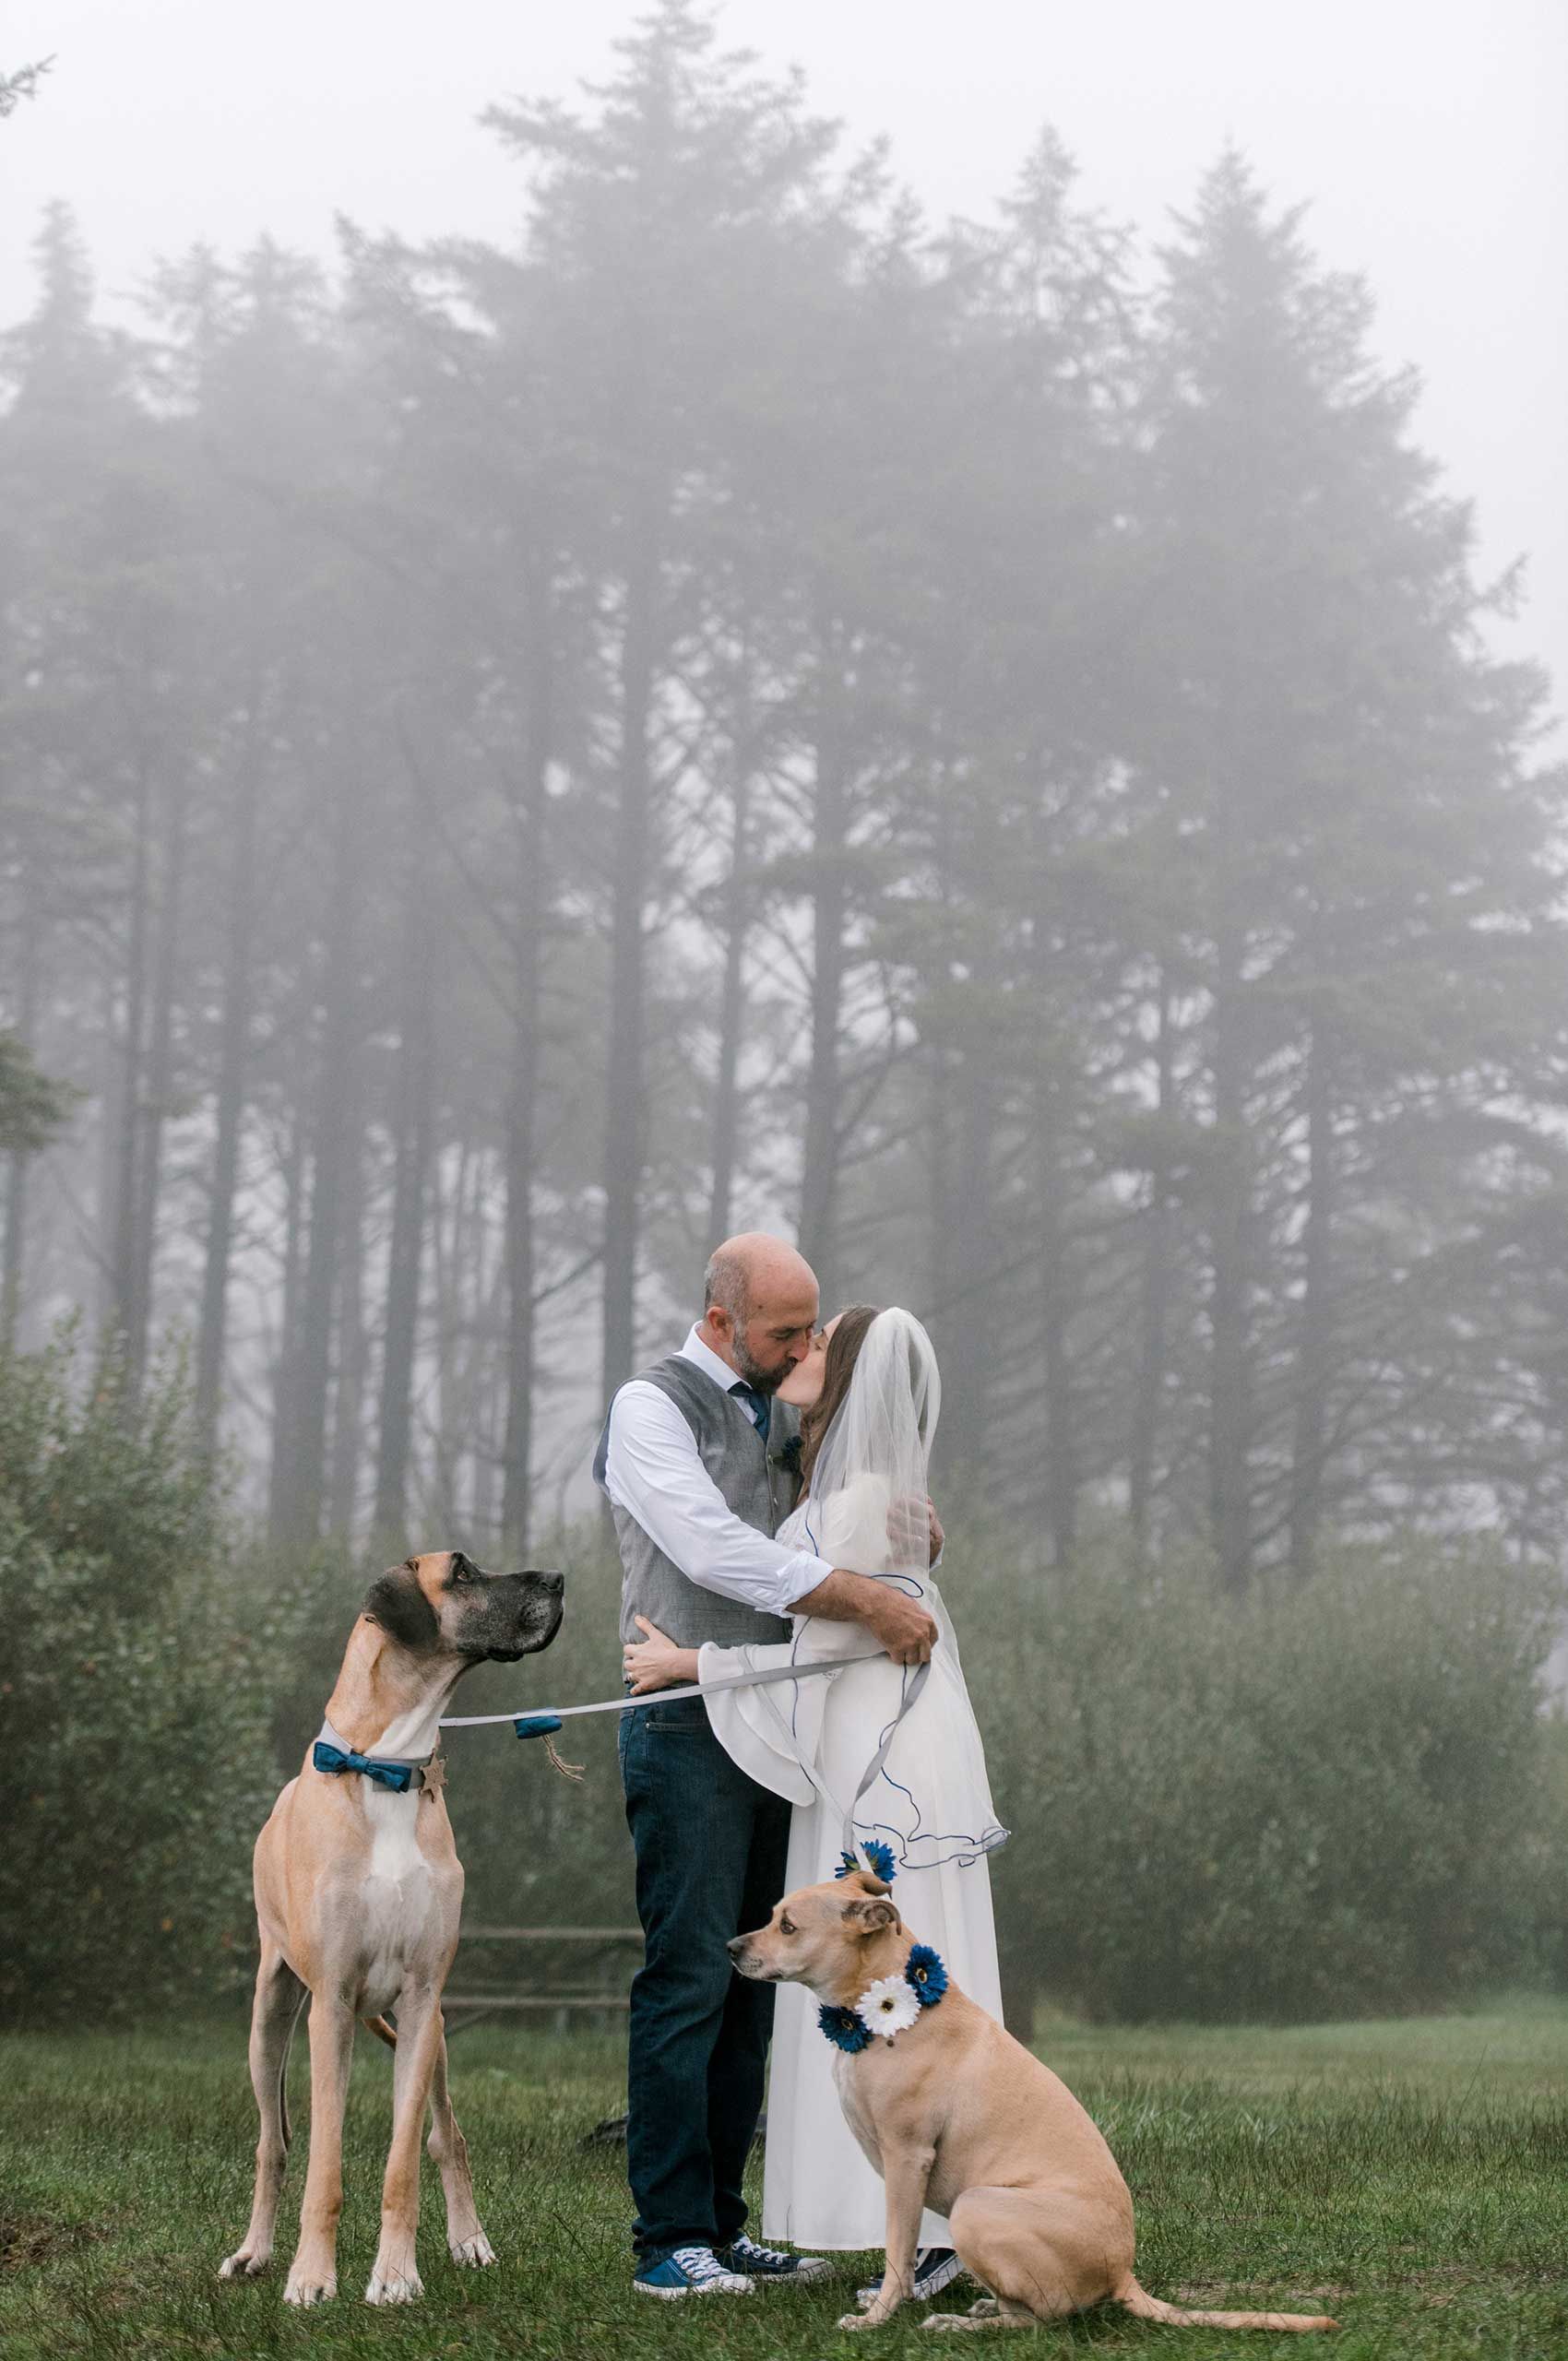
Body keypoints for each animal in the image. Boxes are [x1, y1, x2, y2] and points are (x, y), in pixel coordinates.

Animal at [217, 1548, 564, 2304]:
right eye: (461, 1572)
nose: (556, 1580)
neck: (388, 1768)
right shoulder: (332, 2005)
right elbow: (324, 2161)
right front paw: (311, 2277)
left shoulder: (422, 1997)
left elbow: (404, 2158)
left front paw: (397, 2276)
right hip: (269, 2017)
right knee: (272, 2144)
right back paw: (256, 2250)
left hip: (431, 2034)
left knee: (447, 2136)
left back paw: (469, 2240)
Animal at [731, 1869, 1331, 2332]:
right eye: (773, 1916)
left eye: (788, 1926)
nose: (731, 1949)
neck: (890, 2006)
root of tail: (1122, 2272)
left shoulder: (907, 2158)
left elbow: (898, 2255)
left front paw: (876, 2318)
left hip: (976, 2206)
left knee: (1038, 2322)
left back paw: (959, 2324)